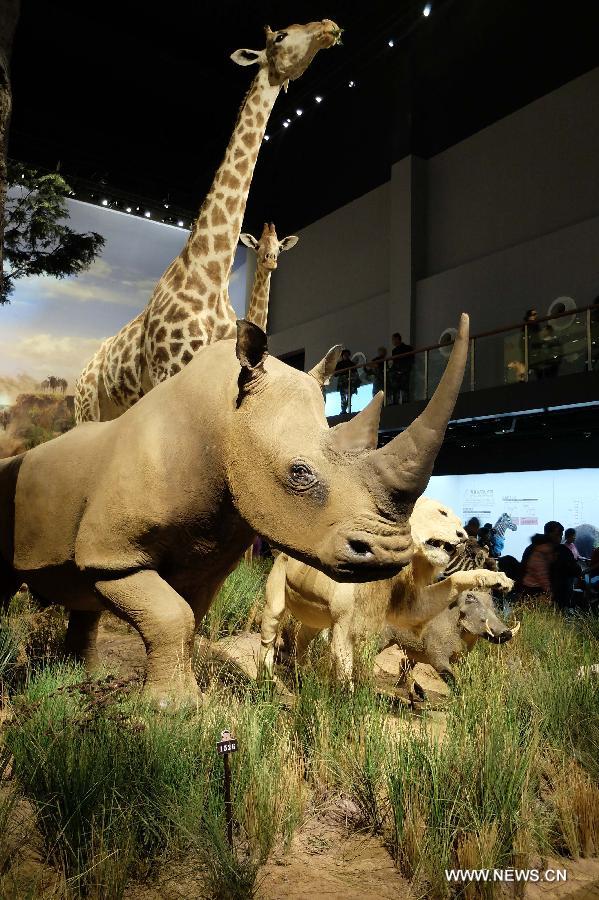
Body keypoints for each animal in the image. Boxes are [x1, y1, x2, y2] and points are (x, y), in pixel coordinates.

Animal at [74, 17, 342, 424]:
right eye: (281, 35)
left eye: (279, 246)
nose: (328, 26)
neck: (211, 270)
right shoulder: (172, 370)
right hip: (87, 408)